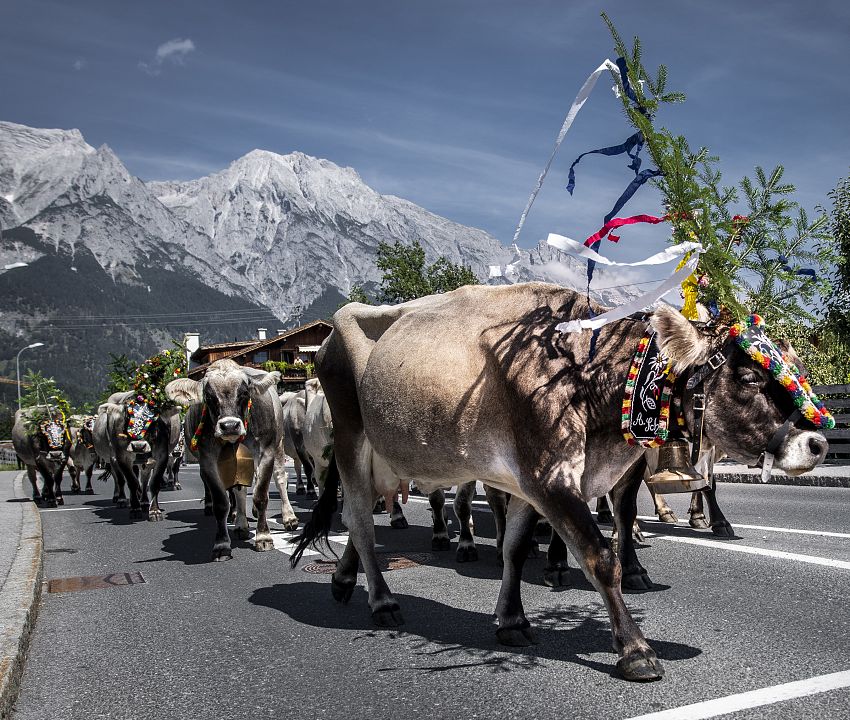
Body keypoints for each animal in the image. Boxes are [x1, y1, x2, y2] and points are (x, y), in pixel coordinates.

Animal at [93, 390, 177, 520]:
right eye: (128, 417)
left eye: (154, 419)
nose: (138, 446)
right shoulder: (120, 458)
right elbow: (131, 482)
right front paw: (135, 508)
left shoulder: (162, 456)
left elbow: (154, 483)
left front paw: (154, 511)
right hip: (112, 459)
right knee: (119, 479)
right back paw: (121, 499)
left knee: (144, 479)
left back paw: (144, 502)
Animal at [167, 360, 296, 564]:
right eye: (209, 396)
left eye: (244, 392)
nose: (229, 426)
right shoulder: (208, 460)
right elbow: (222, 502)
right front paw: (221, 545)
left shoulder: (266, 451)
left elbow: (261, 496)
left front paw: (264, 537)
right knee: (239, 490)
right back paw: (241, 525)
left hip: (278, 443)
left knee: (280, 478)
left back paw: (289, 517)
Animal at [294, 282, 828, 680]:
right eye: (749, 378)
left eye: (797, 368)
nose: (819, 444)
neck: (586, 374)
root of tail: (330, 334)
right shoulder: (549, 475)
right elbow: (601, 557)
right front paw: (635, 649)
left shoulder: (531, 481)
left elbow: (514, 549)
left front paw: (511, 619)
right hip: (351, 439)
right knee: (361, 520)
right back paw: (382, 600)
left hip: (388, 455)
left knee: (358, 518)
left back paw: (344, 579)